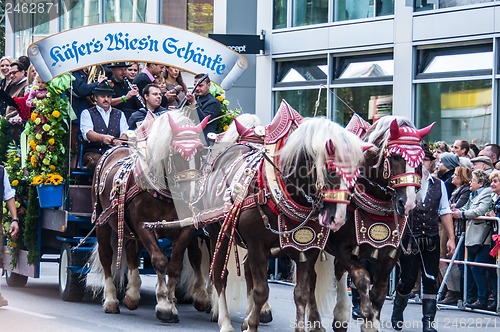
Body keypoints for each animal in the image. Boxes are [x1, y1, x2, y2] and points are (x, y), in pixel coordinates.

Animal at [90, 111, 211, 322]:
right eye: (176, 154)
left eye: (200, 153)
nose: (192, 195)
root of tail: (116, 147)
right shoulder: (144, 227)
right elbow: (160, 260)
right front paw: (163, 306)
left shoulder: (185, 228)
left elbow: (175, 265)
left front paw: (171, 305)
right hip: (102, 223)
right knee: (106, 255)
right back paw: (112, 301)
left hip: (128, 229)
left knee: (131, 251)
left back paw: (132, 296)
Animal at [201, 113, 370, 330]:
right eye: (331, 168)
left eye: (358, 171)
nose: (338, 219)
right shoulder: (257, 246)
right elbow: (261, 291)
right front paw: (252, 324)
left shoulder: (308, 249)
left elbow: (302, 293)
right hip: (218, 234)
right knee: (219, 276)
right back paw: (225, 321)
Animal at [320, 115, 434, 330]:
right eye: (396, 157)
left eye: (420, 158)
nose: (408, 203)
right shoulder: (343, 248)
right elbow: (362, 280)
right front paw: (366, 316)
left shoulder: (390, 255)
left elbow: (379, 293)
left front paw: (371, 321)